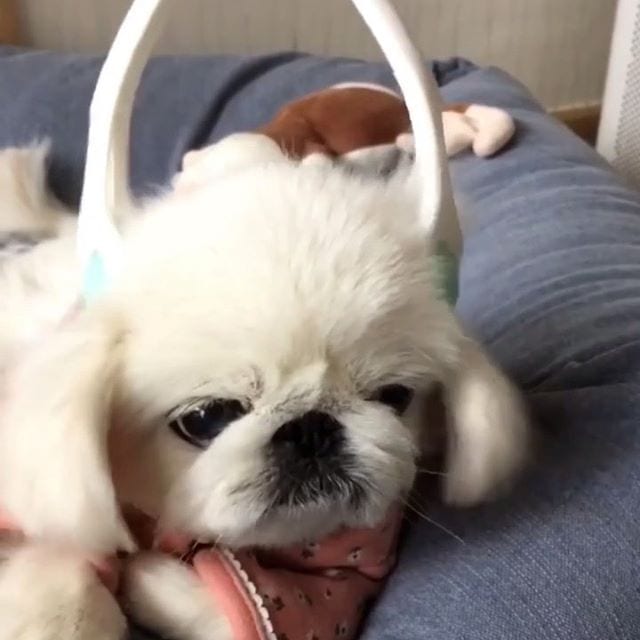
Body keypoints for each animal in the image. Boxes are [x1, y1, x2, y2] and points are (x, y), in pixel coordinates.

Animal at [0, 132, 528, 636]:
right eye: (205, 419)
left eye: (394, 397)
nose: (311, 428)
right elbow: (65, 566)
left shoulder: (335, 577)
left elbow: (231, 610)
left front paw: (147, 576)